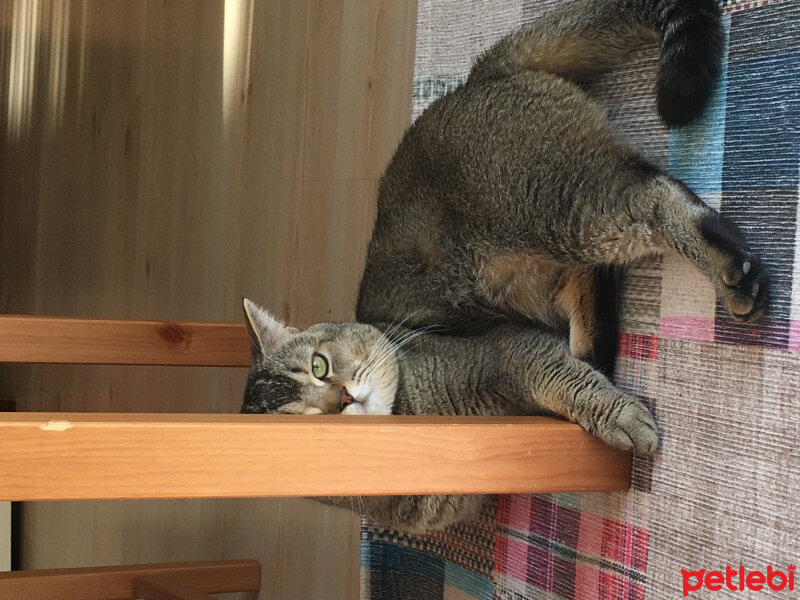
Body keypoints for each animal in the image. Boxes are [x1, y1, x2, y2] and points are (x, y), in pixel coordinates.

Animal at [239, 0, 768, 536]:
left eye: (319, 366)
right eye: (302, 421)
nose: (343, 400)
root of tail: (475, 78)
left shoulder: (509, 351)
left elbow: (563, 380)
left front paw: (621, 418)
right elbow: (568, 379)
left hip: (559, 203)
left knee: (652, 196)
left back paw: (733, 275)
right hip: (544, 255)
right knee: (594, 274)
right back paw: (599, 343)